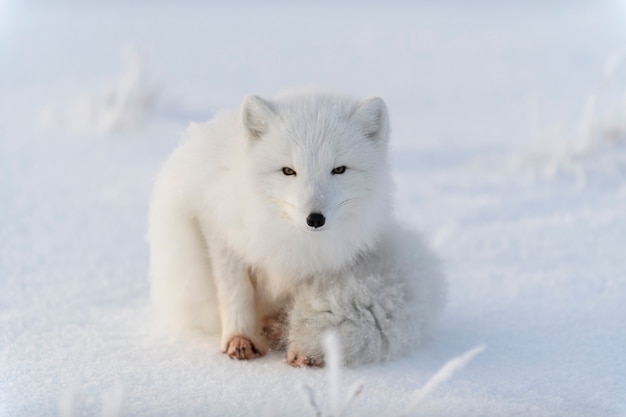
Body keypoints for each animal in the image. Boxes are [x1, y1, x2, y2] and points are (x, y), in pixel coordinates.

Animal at [147, 89, 444, 366]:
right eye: (288, 171)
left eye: (339, 170)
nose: (315, 219)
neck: (287, 234)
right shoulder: (217, 229)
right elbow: (235, 292)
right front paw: (240, 338)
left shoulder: (317, 266)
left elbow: (300, 302)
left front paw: (297, 342)